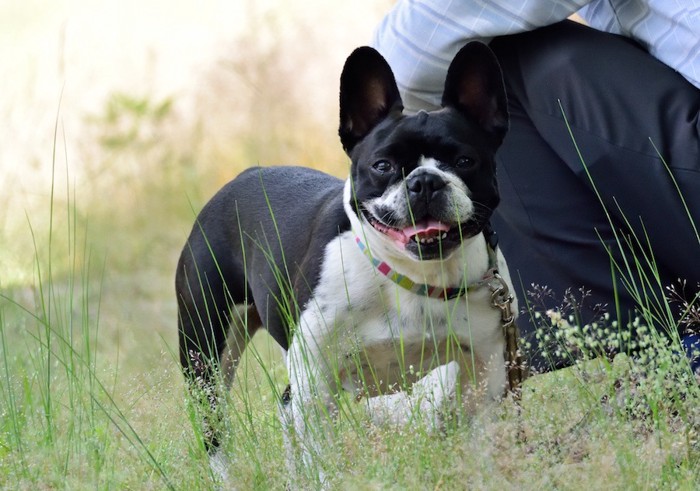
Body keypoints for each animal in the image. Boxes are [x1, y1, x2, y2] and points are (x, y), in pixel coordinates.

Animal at [175, 41, 516, 484]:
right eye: (382, 166)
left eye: (464, 162)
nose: (424, 181)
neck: (411, 275)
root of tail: (238, 179)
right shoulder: (317, 383)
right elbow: (322, 459)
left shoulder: (484, 374)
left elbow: (481, 452)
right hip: (206, 354)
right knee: (215, 430)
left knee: (285, 410)